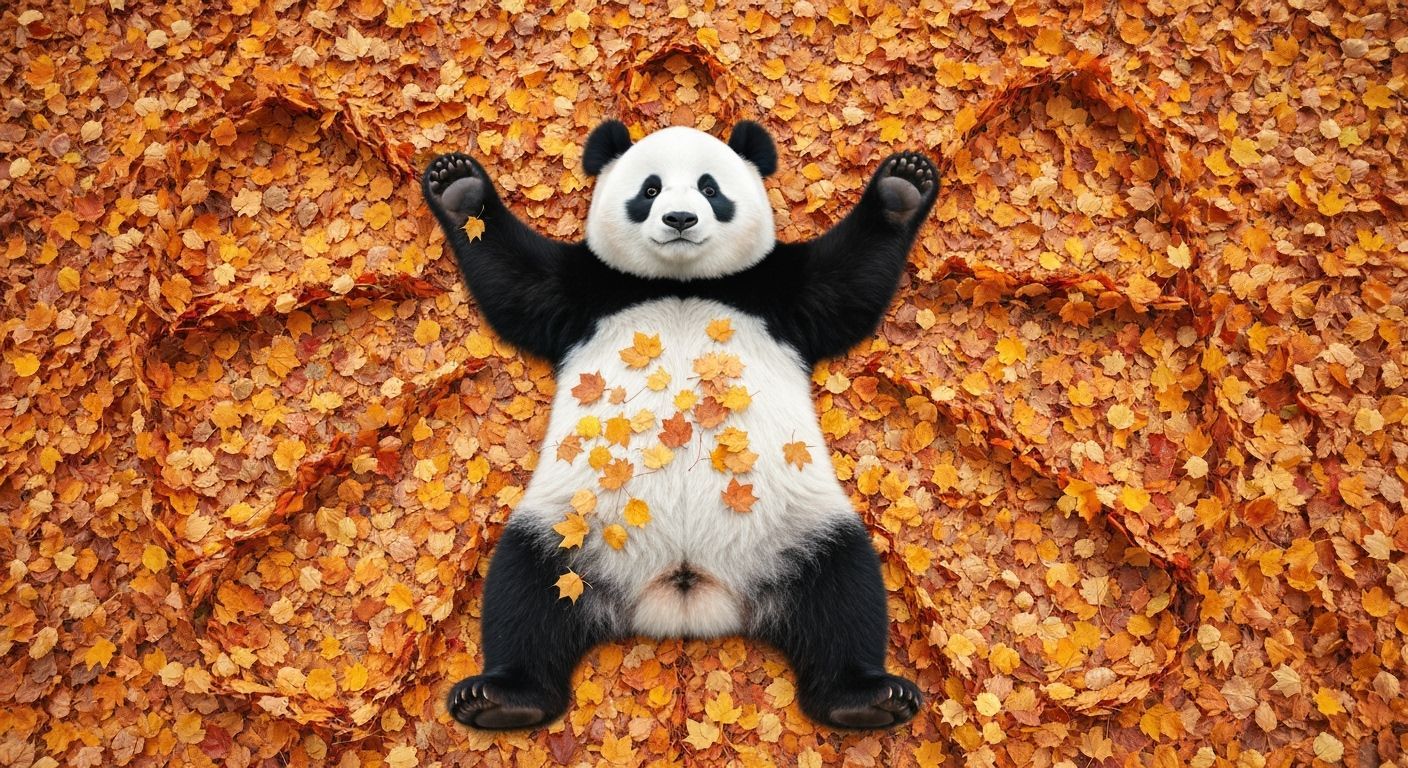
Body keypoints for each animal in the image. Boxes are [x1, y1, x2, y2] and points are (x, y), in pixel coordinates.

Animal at [422, 119, 937, 731]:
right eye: (649, 190)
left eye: (710, 188)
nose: (680, 219)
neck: (682, 283)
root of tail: (686, 591)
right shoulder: (587, 291)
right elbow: (518, 285)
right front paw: (459, 187)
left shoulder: (776, 291)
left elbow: (846, 286)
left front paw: (902, 186)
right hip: (571, 529)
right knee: (524, 591)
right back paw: (503, 698)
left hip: (800, 528)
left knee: (845, 590)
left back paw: (864, 698)